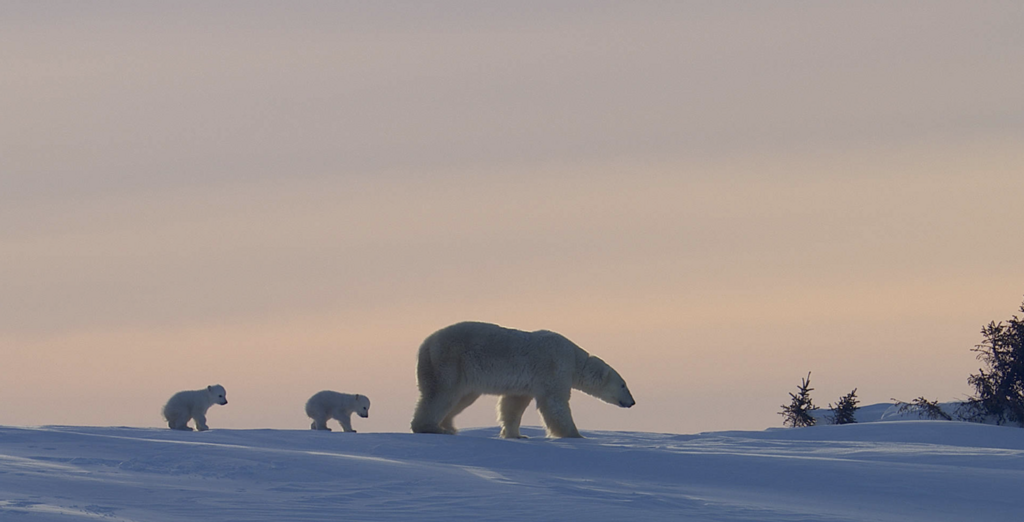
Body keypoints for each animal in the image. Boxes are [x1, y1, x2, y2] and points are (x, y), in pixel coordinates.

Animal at [411, 321, 635, 438]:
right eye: (623, 385)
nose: (632, 402)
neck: (574, 358)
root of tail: (425, 345)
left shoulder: (524, 384)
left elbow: (513, 404)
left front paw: (515, 434)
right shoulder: (554, 367)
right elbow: (555, 404)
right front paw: (575, 435)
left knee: (461, 398)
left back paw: (449, 426)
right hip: (449, 362)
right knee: (441, 395)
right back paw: (432, 427)